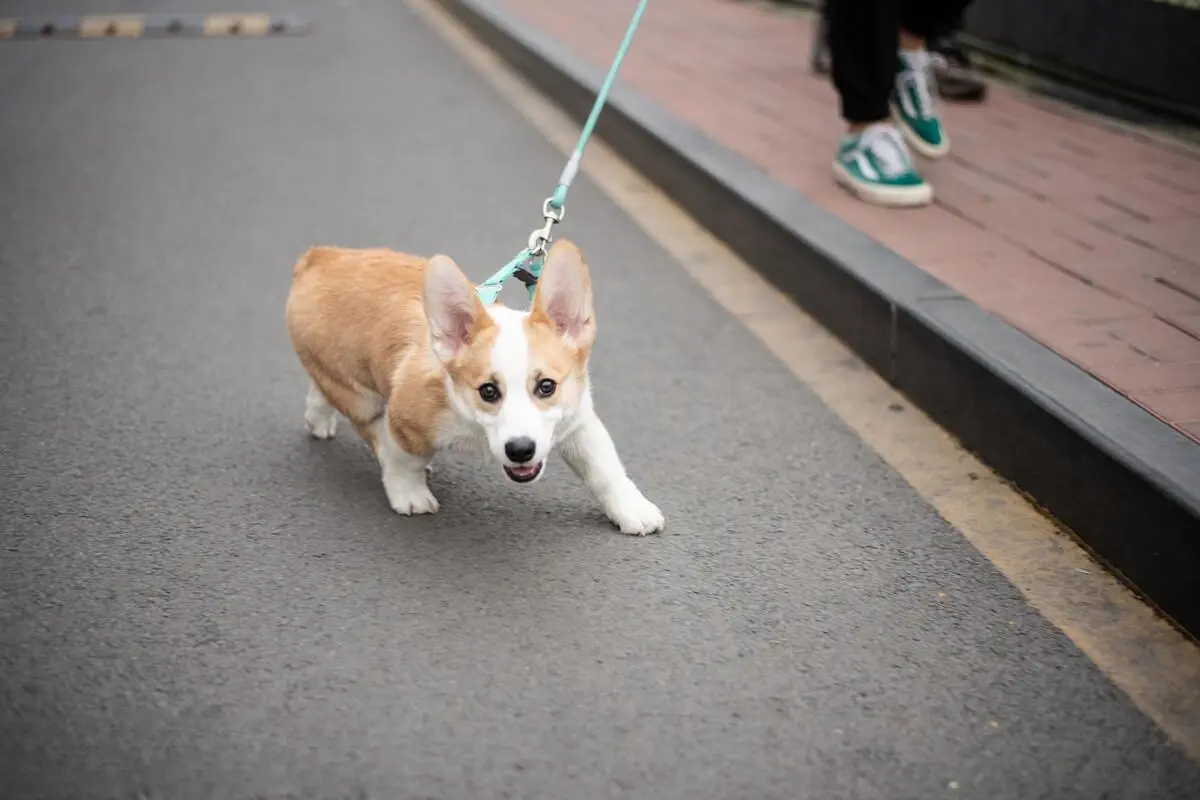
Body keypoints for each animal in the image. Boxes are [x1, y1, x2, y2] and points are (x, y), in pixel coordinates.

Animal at [286, 239, 672, 537]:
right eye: (488, 391)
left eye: (546, 386)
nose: (521, 450)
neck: (473, 427)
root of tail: (320, 257)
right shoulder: (403, 417)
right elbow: (402, 460)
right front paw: (409, 494)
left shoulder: (577, 421)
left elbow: (605, 469)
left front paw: (632, 510)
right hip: (361, 397)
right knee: (365, 422)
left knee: (320, 389)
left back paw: (318, 420)